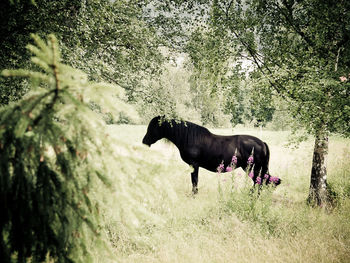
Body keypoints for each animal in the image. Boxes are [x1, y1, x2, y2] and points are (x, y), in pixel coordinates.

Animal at [141, 116, 280, 195]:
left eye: (152, 127)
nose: (144, 141)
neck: (189, 137)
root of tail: (262, 143)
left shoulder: (194, 165)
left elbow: (194, 181)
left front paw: (194, 195)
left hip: (252, 168)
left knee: (259, 182)